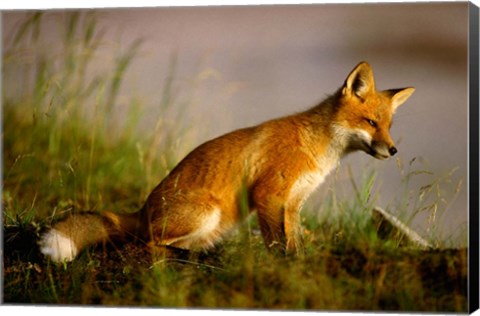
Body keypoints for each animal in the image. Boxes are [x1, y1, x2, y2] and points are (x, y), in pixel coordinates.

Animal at [38, 61, 412, 262]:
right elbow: (276, 244)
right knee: (150, 244)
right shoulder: (268, 195)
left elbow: (294, 242)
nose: (394, 150)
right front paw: (282, 268)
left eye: (389, 126)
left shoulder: (293, 203)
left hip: (217, 223)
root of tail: (141, 211)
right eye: (370, 123)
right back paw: (181, 256)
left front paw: (299, 264)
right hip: (207, 211)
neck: (316, 149)